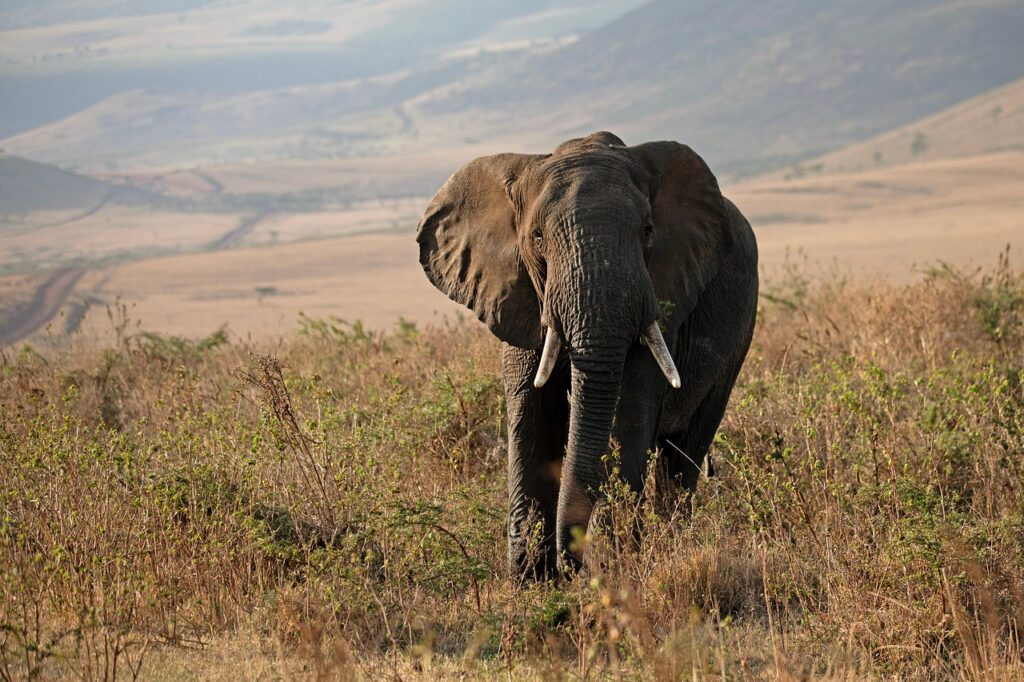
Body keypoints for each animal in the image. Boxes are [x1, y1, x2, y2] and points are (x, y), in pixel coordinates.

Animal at [416, 131, 758, 580]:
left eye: (648, 230)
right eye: (537, 238)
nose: (571, 562)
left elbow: (627, 414)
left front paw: (611, 568)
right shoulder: (518, 295)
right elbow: (532, 416)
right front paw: (531, 581)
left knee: (684, 452)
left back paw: (671, 548)